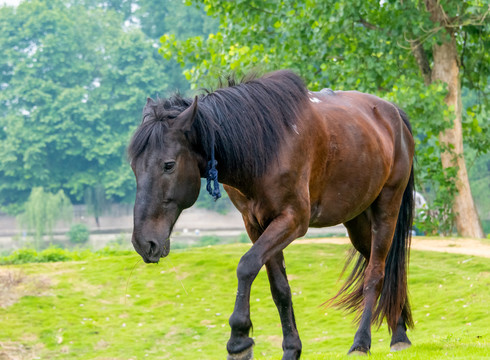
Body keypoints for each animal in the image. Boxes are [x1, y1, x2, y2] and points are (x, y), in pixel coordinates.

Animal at [128, 69, 416, 358]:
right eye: (133, 166)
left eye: (168, 165)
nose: (144, 243)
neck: (266, 146)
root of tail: (394, 116)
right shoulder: (257, 225)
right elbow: (280, 288)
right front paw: (291, 348)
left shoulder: (292, 220)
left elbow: (246, 266)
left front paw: (239, 339)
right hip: (357, 221)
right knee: (385, 269)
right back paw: (399, 332)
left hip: (386, 208)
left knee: (376, 274)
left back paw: (362, 342)